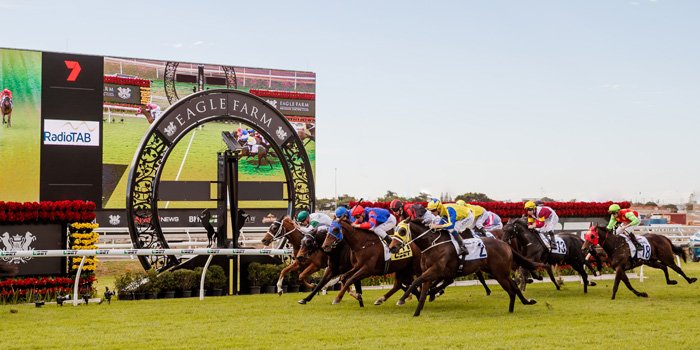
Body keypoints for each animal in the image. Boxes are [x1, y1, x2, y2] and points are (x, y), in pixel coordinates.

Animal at [392, 206, 540, 316]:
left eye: (402, 231)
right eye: (395, 230)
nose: (392, 247)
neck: (432, 244)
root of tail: (505, 244)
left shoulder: (435, 270)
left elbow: (416, 281)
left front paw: (401, 300)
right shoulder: (430, 272)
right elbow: (422, 291)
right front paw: (417, 312)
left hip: (500, 273)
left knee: (512, 289)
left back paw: (515, 306)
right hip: (498, 272)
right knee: (514, 286)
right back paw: (522, 304)